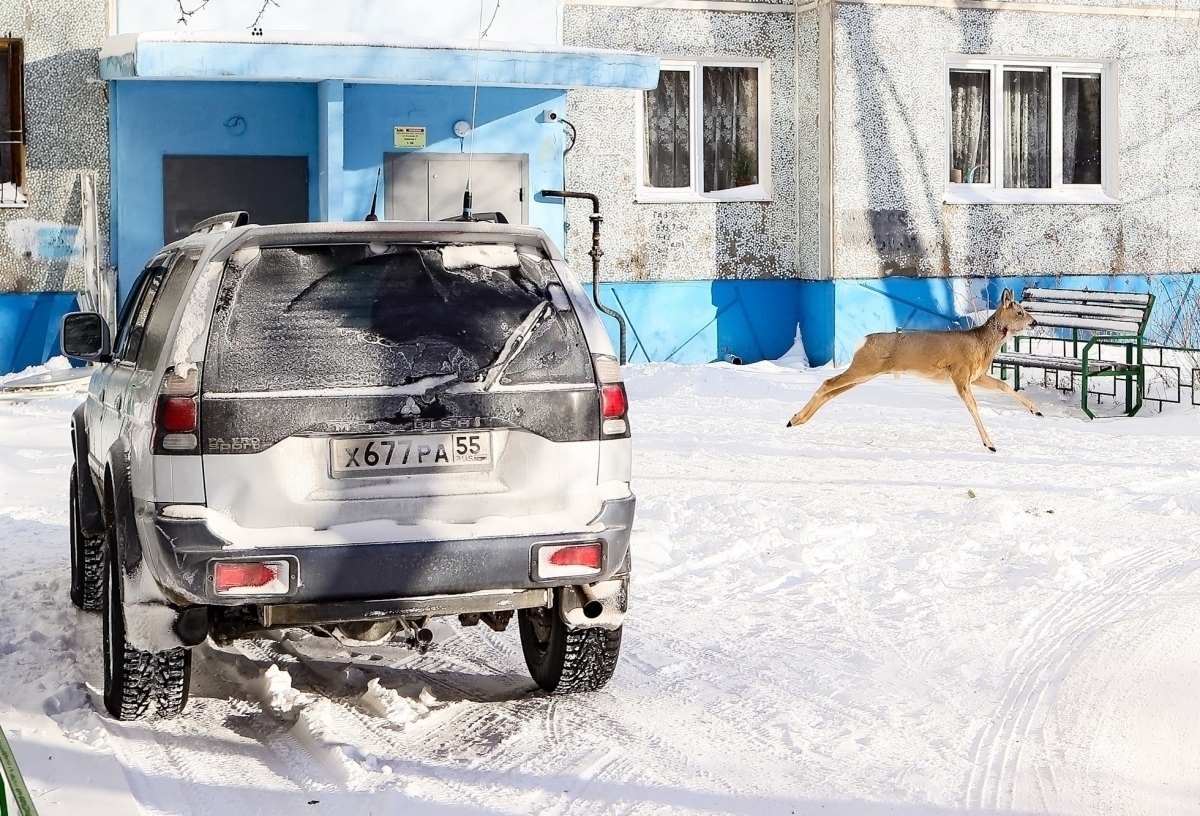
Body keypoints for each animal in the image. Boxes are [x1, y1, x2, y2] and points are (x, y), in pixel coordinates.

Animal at [787, 288, 1041, 453]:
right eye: (1019, 312)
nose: (1035, 322)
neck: (982, 343)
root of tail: (861, 342)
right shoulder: (960, 373)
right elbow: (973, 407)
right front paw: (990, 444)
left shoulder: (975, 376)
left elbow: (1003, 385)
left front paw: (1036, 410)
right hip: (864, 367)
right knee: (827, 383)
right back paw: (794, 418)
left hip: (864, 372)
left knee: (831, 391)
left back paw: (796, 420)